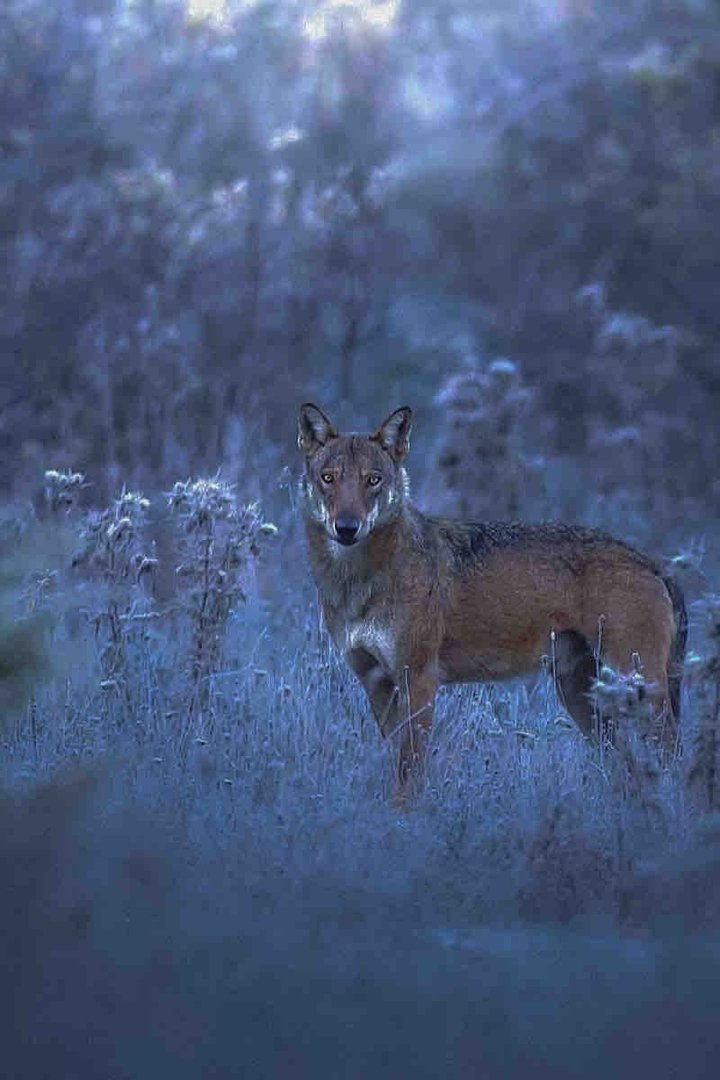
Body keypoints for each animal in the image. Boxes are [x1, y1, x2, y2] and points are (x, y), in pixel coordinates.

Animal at [298, 403, 687, 790]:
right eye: (329, 478)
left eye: (373, 480)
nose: (347, 528)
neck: (357, 581)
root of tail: (653, 563)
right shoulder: (377, 684)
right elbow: (397, 765)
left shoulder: (419, 680)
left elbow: (410, 773)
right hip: (583, 698)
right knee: (629, 767)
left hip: (638, 691)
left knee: (669, 755)